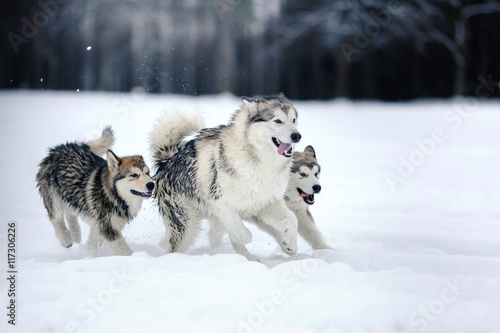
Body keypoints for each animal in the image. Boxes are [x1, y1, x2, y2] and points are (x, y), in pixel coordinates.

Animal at [151, 93, 300, 260]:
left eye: (294, 120)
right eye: (278, 120)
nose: (297, 136)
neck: (258, 160)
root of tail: (166, 163)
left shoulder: (266, 202)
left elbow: (292, 218)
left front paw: (290, 242)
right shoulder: (221, 203)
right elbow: (243, 234)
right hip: (186, 227)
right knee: (173, 249)